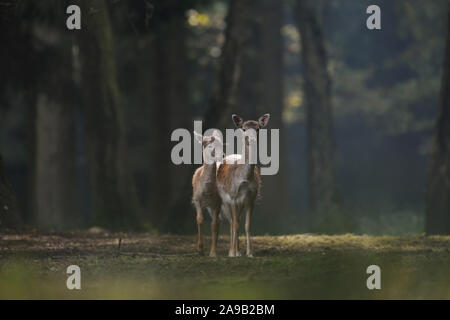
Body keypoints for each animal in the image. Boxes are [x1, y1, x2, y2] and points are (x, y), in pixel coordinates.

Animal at [215, 114, 268, 256]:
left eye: (258, 128)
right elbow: (235, 224)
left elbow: (247, 225)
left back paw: (238, 251)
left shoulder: (251, 199)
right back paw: (232, 252)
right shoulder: (233, 197)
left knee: (236, 220)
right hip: (224, 201)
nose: (252, 139)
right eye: (244, 129)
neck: (245, 179)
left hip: (240, 204)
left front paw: (249, 253)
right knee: (232, 222)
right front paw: (233, 253)